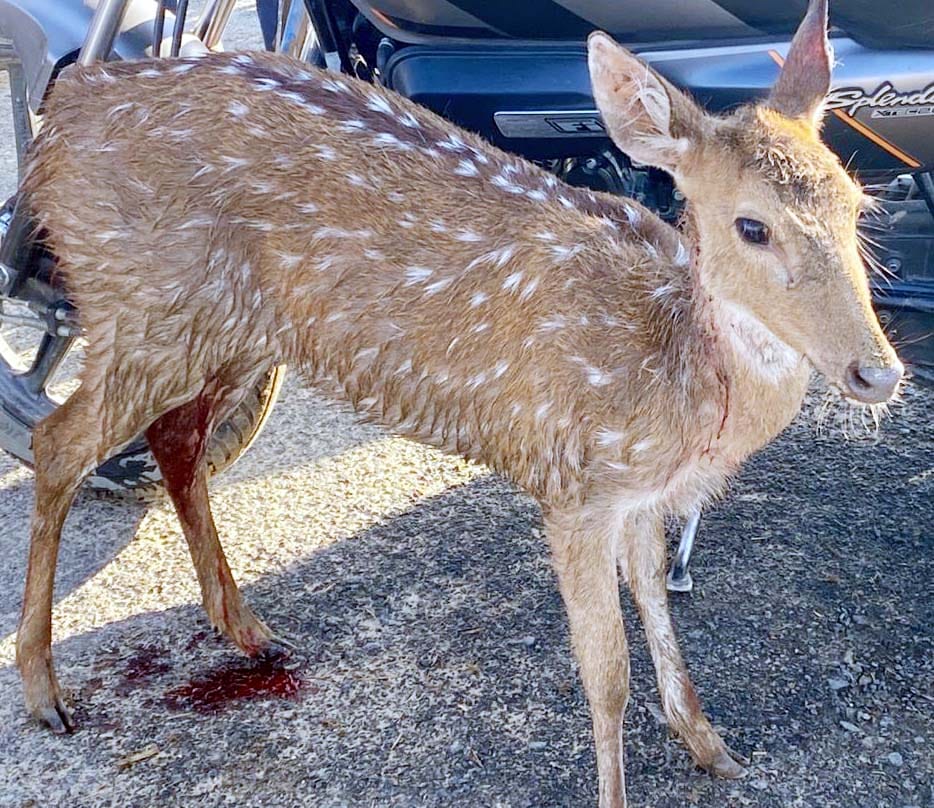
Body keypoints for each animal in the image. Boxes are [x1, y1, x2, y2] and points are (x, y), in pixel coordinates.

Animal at [14, 0, 902, 804]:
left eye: (858, 204)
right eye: (752, 226)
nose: (878, 373)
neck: (677, 371)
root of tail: (64, 108)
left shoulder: (641, 496)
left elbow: (658, 612)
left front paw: (711, 747)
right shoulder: (574, 483)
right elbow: (606, 673)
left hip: (234, 332)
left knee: (176, 439)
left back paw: (248, 631)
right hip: (141, 303)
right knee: (61, 441)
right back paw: (44, 693)